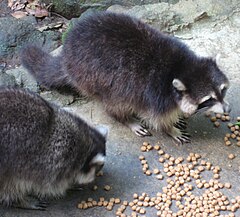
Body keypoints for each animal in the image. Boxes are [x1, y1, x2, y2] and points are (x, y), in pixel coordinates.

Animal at [20, 11, 231, 144]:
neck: (182, 67)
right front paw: (169, 129)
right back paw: (126, 119)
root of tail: (66, 55)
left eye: (222, 90)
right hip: (95, 78)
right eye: (208, 99)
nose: (228, 109)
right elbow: (156, 119)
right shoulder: (155, 96)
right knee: (116, 103)